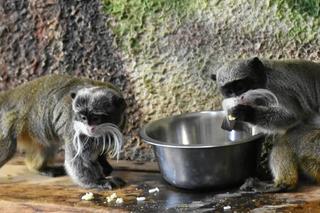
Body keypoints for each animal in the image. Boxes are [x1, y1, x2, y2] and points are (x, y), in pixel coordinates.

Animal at [212, 57, 320, 193]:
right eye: (229, 91)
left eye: (240, 87)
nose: (237, 97)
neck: (265, 77)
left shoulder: (277, 87)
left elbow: (291, 115)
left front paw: (247, 113)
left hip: (316, 145)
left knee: (289, 139)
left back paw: (283, 185)